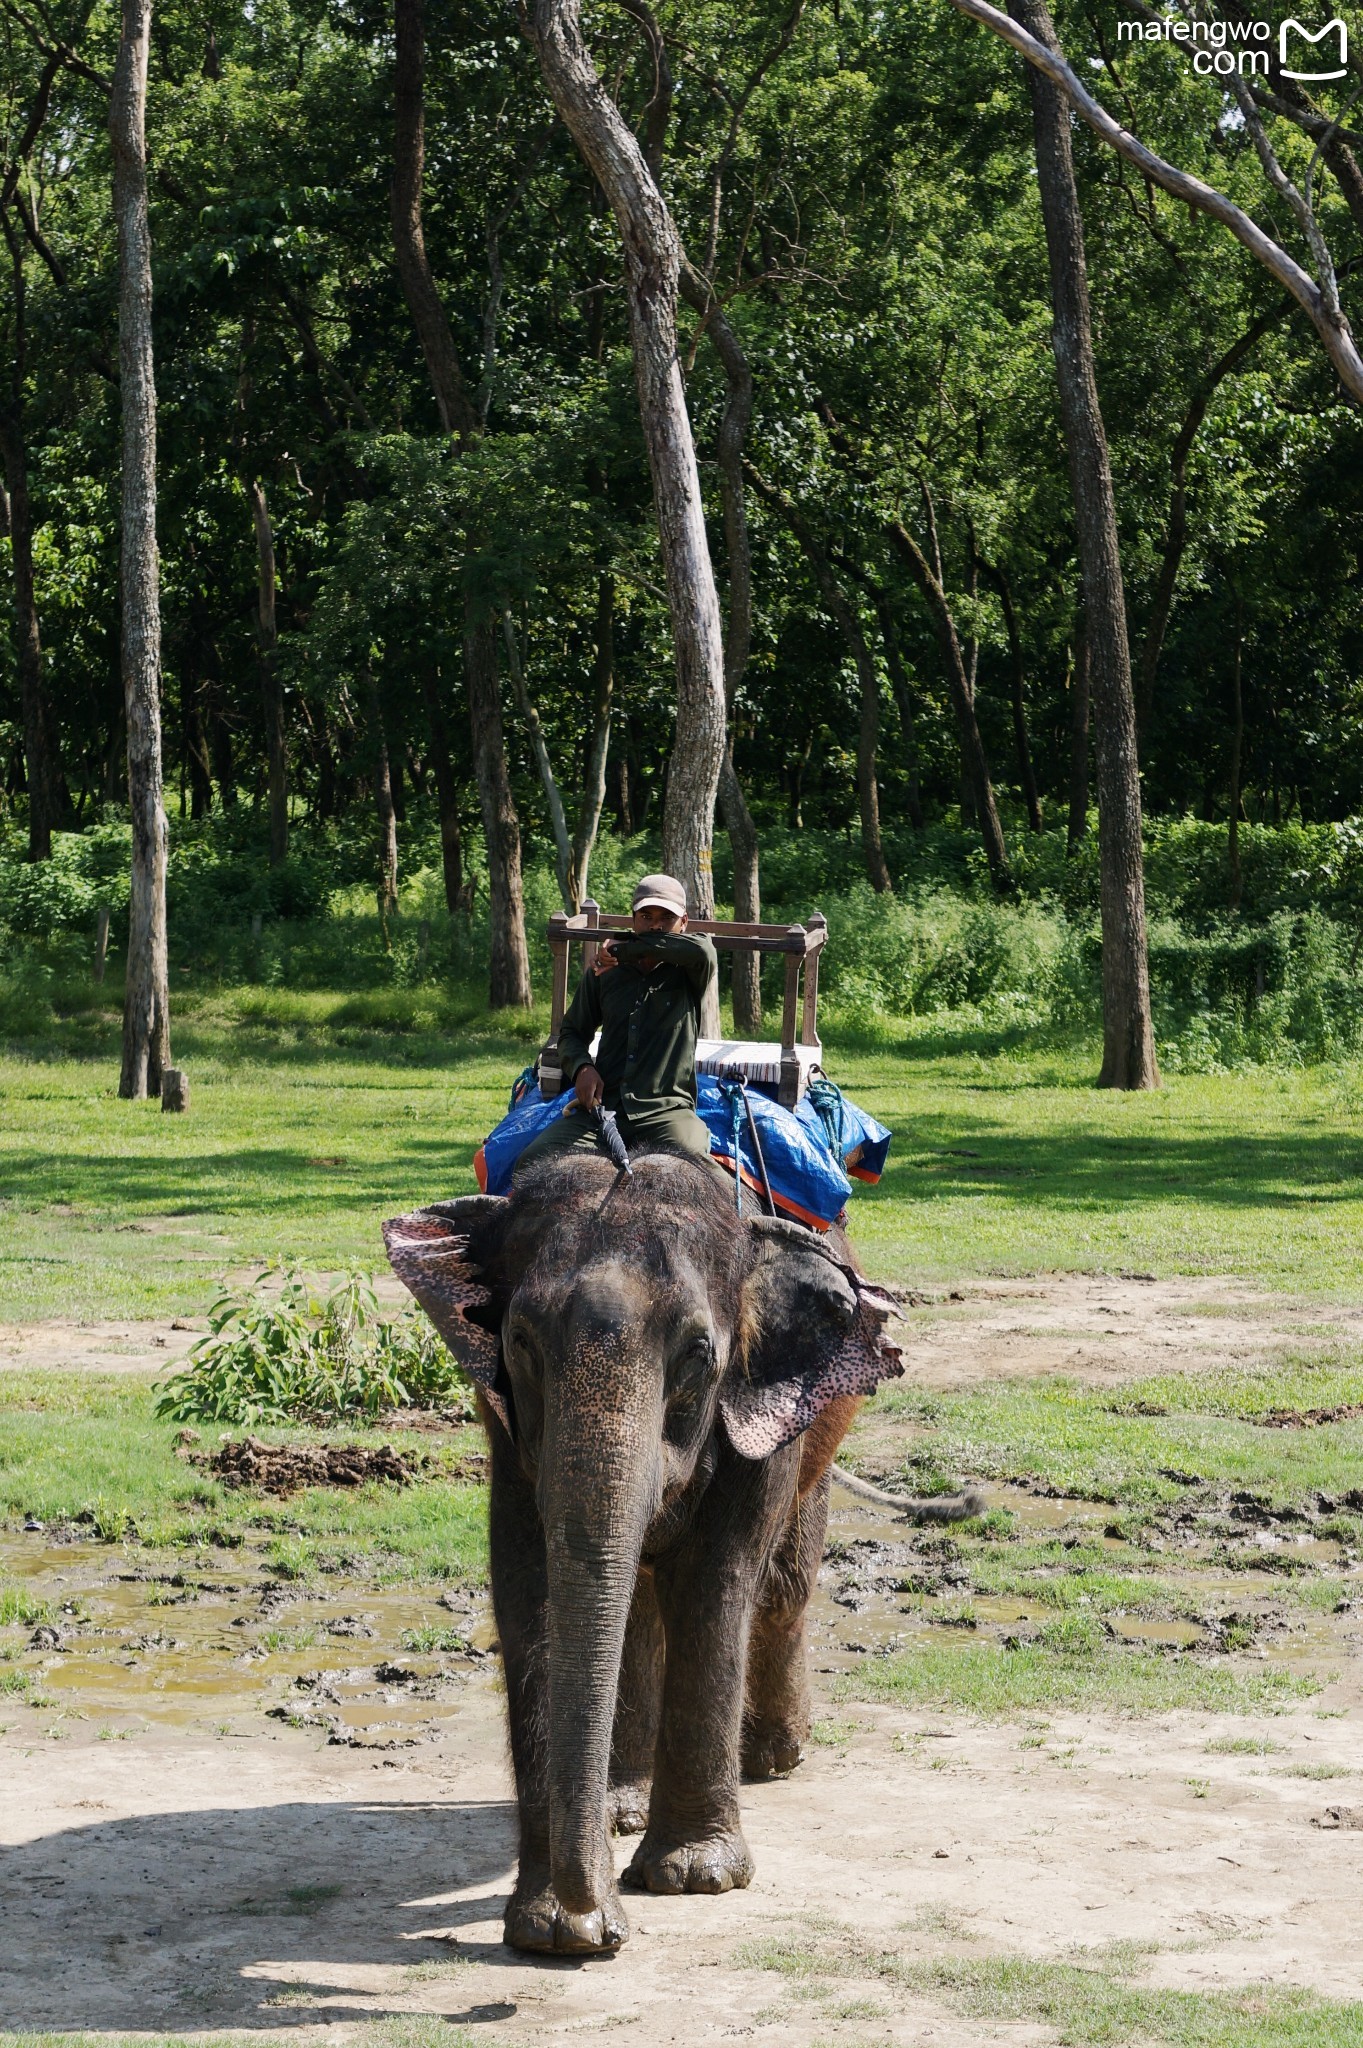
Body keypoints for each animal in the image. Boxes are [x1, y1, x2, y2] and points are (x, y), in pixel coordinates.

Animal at [382, 1146, 908, 1957]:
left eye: (697, 1355)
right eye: (520, 1342)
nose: (603, 1932)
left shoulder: (758, 1407)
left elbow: (717, 1582)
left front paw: (693, 1878)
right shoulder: (504, 1422)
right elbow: (529, 1585)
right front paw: (552, 1928)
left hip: (821, 1419)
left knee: (781, 1588)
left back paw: (772, 1760)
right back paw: (620, 1806)